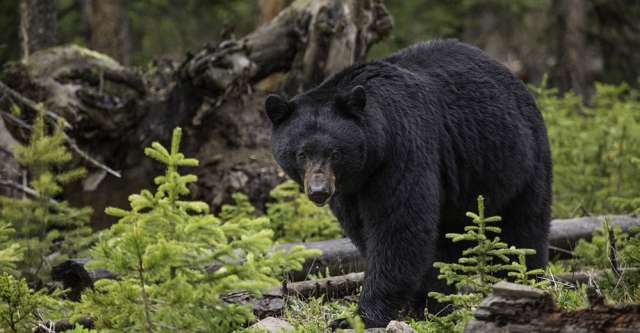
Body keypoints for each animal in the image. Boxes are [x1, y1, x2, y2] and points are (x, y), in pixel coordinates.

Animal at [264, 39, 552, 326]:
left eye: (334, 152)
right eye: (301, 153)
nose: (319, 191)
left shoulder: (402, 150)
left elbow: (399, 226)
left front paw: (361, 316)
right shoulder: (349, 190)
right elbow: (364, 230)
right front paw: (422, 301)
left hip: (519, 161)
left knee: (523, 229)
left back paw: (523, 280)